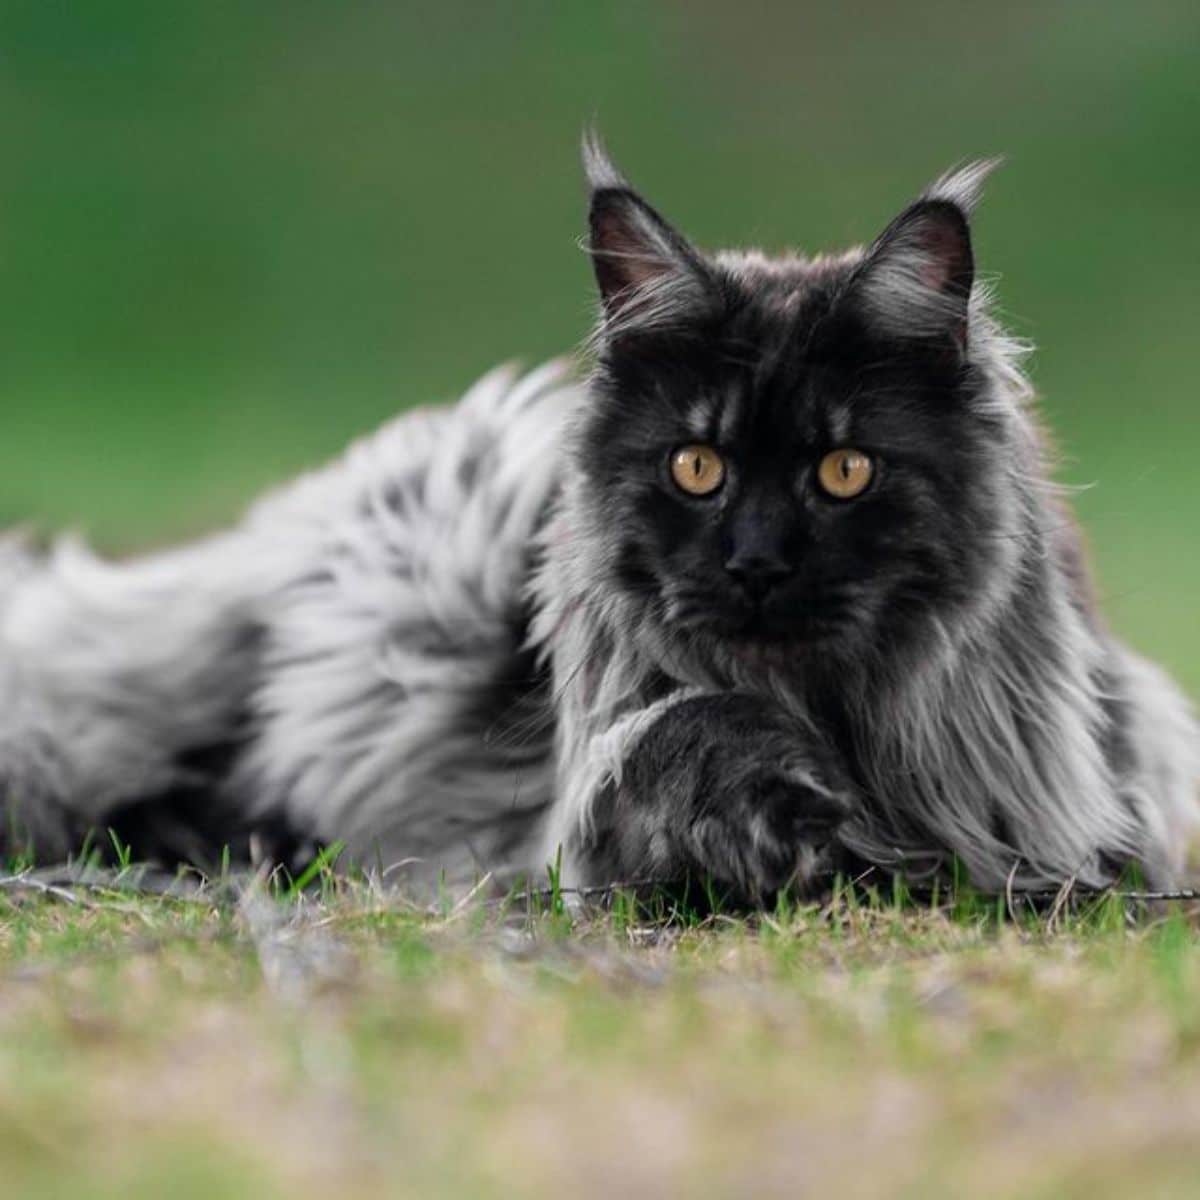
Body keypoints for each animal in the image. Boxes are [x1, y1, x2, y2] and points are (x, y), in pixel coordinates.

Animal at [2, 138, 1200, 902]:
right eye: (697, 466)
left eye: (846, 469)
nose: (756, 563)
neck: (826, 718)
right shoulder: (573, 815)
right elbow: (670, 748)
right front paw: (779, 831)